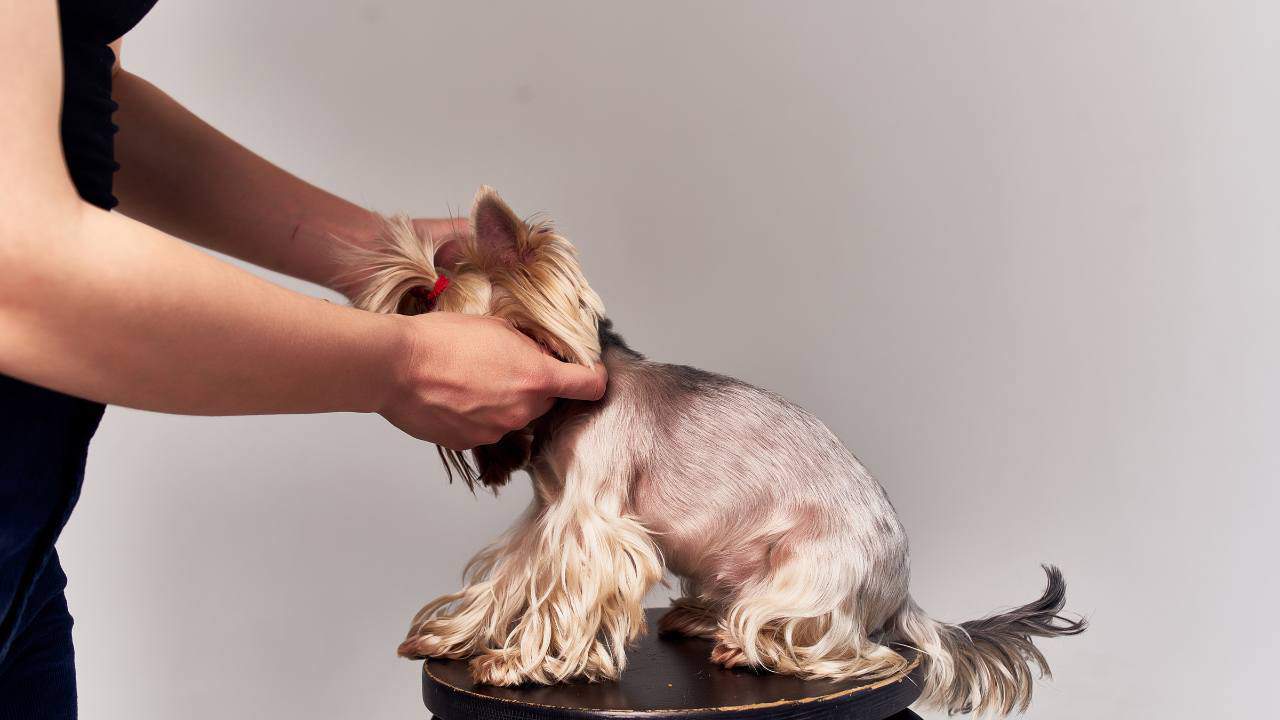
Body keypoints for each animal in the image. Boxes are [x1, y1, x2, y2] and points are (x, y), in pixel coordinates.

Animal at [345, 188, 1085, 712]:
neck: (563, 411)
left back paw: (753, 646)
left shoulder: (590, 521)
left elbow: (567, 591)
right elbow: (508, 578)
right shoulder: (546, 517)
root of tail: (902, 597)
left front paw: (519, 663)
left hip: (808, 574)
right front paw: (453, 635)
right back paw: (700, 620)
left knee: (862, 653)